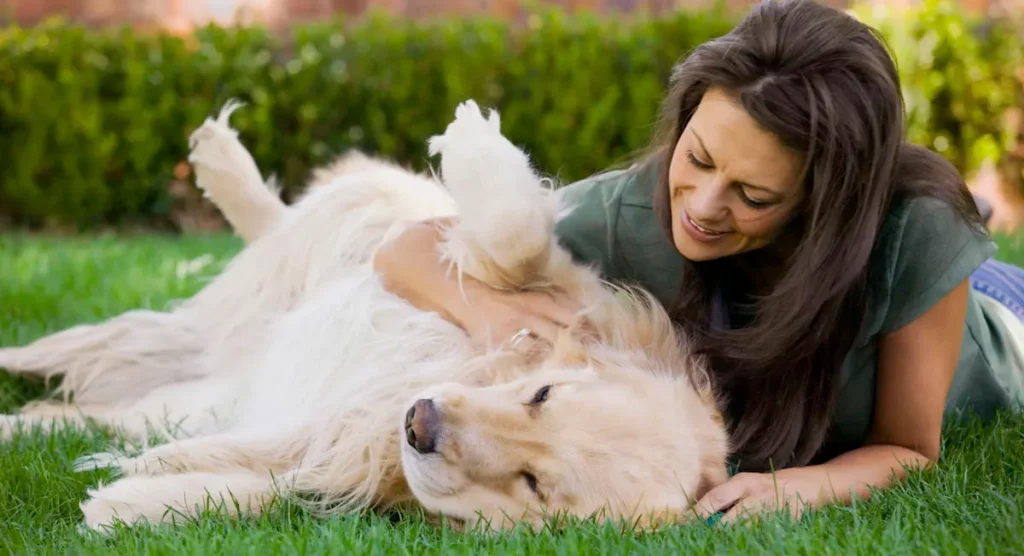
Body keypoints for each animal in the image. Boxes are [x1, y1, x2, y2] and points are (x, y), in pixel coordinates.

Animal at [0, 101, 729, 536]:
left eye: (535, 485)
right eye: (541, 394)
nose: (422, 424)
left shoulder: (345, 463)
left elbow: (272, 490)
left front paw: (128, 502)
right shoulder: (562, 283)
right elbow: (518, 240)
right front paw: (475, 143)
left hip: (192, 388)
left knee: (86, 411)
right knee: (309, 216)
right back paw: (221, 161)